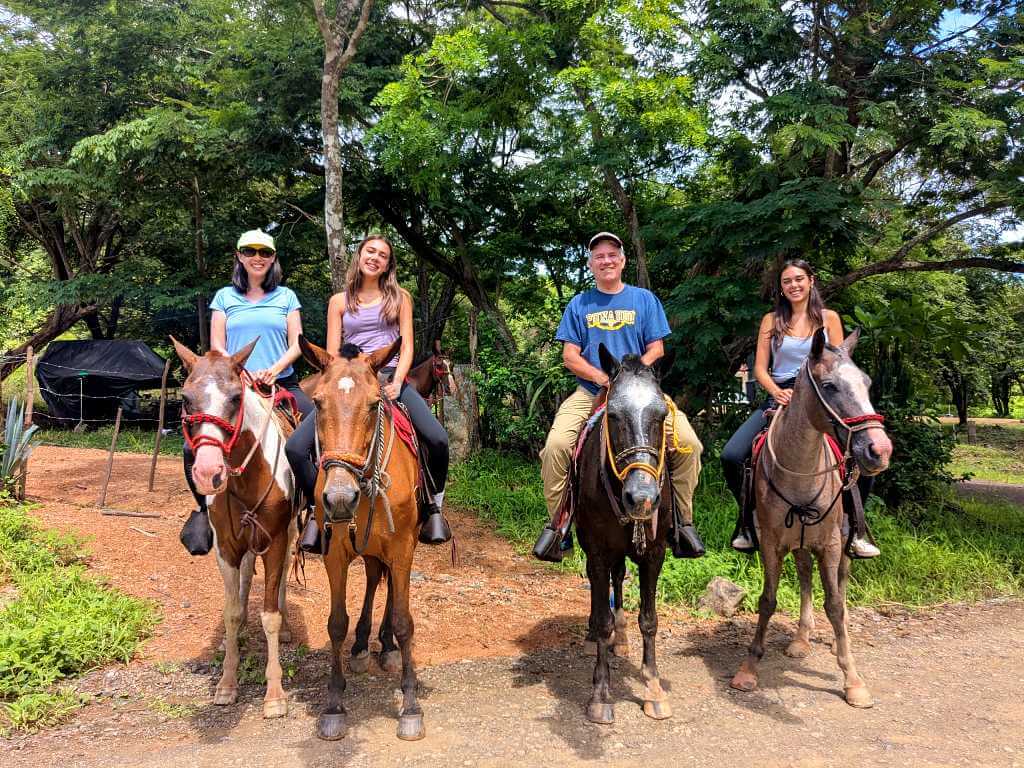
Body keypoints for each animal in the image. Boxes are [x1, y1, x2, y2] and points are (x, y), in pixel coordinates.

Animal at [172, 339, 296, 720]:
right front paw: (227, 683)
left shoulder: (275, 540)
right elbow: (231, 612)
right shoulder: (226, 547)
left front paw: (274, 694)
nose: (208, 473)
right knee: (243, 583)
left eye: (235, 398)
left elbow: (269, 615)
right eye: (186, 398)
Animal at [299, 335, 425, 741]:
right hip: (368, 546)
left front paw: (410, 706)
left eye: (373, 404)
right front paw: (334, 705)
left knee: (389, 588)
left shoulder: (402, 548)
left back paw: (385, 646)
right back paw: (362, 645)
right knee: (372, 578)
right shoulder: (335, 553)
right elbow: (336, 622)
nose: (340, 498)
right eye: (317, 402)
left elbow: (404, 621)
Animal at [577, 346, 679, 724]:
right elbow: (603, 618)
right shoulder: (596, 551)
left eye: (662, 414)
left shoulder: (655, 553)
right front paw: (600, 695)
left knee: (619, 579)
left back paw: (621, 639)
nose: (642, 497)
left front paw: (653, 689)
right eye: (614, 415)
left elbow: (648, 620)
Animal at [733, 327, 892, 708]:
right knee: (805, 575)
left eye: (867, 383)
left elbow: (834, 603)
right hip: (800, 541)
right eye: (830, 386)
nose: (880, 450)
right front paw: (749, 667)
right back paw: (801, 639)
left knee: (841, 582)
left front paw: (852, 679)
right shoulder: (771, 544)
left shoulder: (831, 544)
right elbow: (768, 600)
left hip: (841, 541)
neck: (801, 468)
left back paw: (836, 637)